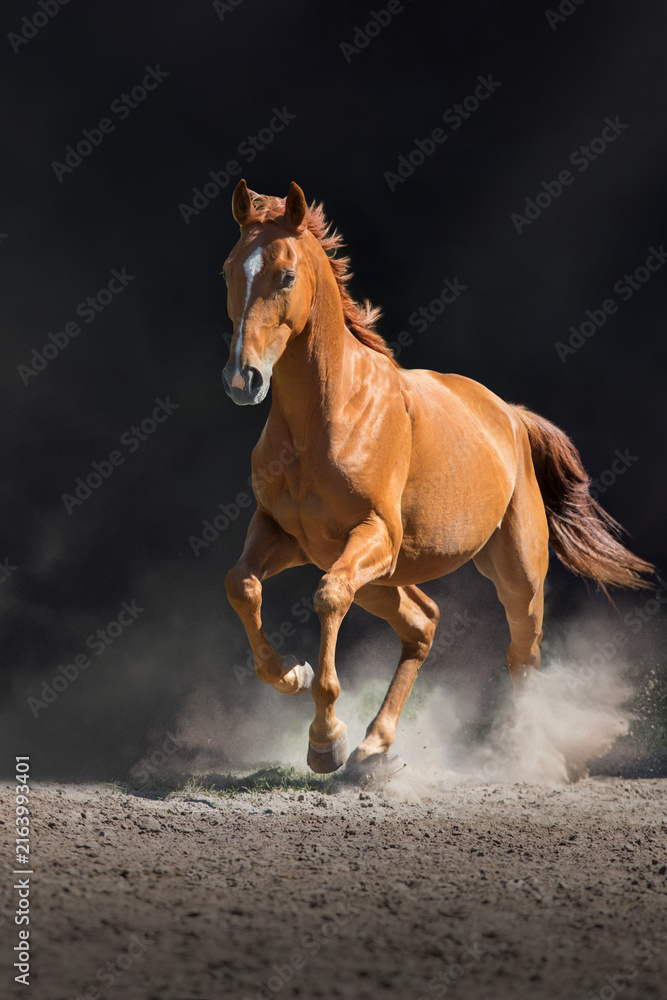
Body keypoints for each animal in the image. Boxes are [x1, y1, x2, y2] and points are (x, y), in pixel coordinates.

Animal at [221, 179, 654, 775]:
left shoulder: (373, 537)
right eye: (228, 270)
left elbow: (328, 597)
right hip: (384, 579)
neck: (327, 417)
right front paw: (292, 674)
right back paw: (375, 744)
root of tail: (510, 415)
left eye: (285, 275)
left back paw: (526, 752)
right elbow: (242, 585)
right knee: (424, 624)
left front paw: (326, 738)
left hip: (513, 574)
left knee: (522, 653)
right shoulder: (290, 537)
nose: (243, 379)